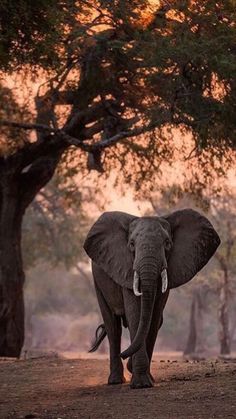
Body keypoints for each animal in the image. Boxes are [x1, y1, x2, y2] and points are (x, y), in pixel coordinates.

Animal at [84, 210, 220, 390]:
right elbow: (135, 313)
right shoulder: (126, 268)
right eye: (132, 244)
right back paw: (115, 381)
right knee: (113, 326)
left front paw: (145, 379)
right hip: (98, 282)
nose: (124, 355)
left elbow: (154, 317)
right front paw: (140, 384)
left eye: (167, 243)